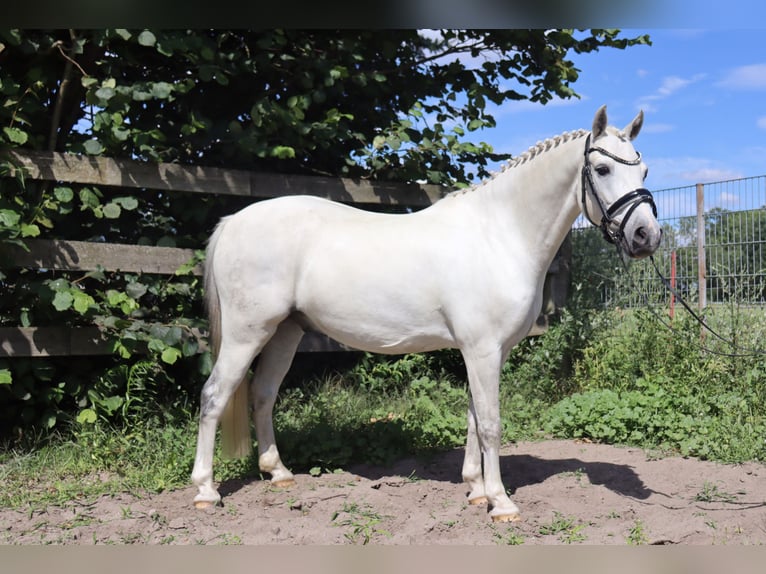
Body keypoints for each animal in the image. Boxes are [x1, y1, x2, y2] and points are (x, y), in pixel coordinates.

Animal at [190, 106, 660, 524]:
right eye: (602, 169)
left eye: (644, 172)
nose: (646, 236)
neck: (499, 234)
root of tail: (233, 220)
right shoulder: (483, 350)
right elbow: (491, 423)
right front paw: (500, 503)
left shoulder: (487, 351)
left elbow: (473, 417)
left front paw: (475, 489)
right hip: (246, 333)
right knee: (214, 396)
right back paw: (206, 491)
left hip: (286, 332)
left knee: (263, 395)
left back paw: (279, 473)